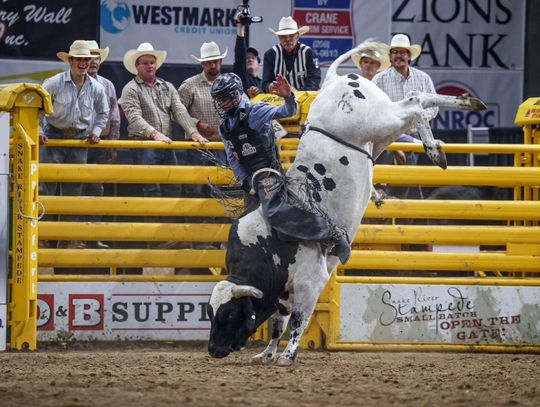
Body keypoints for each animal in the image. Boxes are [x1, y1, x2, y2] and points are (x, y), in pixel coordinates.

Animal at [206, 40, 486, 366]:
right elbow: (278, 321)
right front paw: (267, 353)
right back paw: (468, 106)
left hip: (379, 121)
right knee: (417, 102)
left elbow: (298, 317)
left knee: (415, 101)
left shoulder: (310, 280)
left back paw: (436, 148)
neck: (268, 243)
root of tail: (336, 80)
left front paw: (288, 354)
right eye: (210, 313)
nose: (213, 349)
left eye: (228, 315)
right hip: (379, 136)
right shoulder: (282, 289)